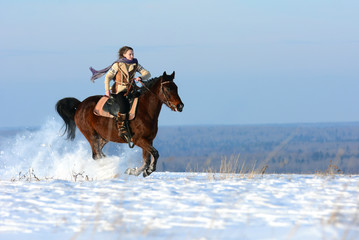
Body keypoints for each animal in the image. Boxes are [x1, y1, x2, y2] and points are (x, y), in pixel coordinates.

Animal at [57, 71, 186, 176]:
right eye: (168, 88)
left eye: (176, 87)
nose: (180, 106)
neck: (145, 110)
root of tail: (80, 105)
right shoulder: (139, 140)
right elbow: (155, 153)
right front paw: (148, 170)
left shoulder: (149, 140)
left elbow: (147, 159)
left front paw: (134, 171)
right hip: (91, 135)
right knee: (97, 155)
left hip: (103, 138)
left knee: (98, 154)